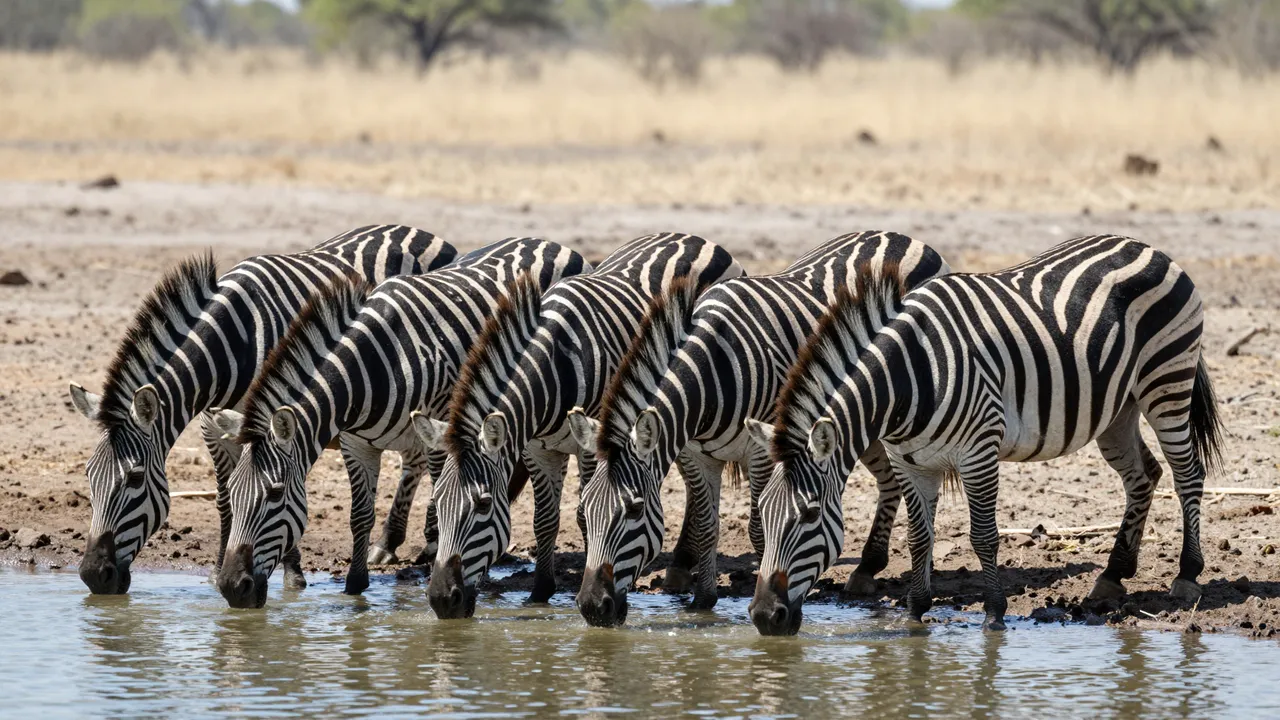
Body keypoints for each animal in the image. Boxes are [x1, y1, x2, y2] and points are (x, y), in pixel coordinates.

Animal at [68, 225, 455, 595]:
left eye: (134, 478)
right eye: (87, 475)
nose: (93, 577)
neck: (231, 346)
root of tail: (418, 231)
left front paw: (292, 572)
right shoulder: (213, 426)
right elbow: (227, 498)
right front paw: (218, 571)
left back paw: (424, 544)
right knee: (415, 459)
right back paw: (392, 542)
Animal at [211, 238, 587, 608]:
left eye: (274, 494)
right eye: (232, 491)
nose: (230, 587)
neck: (375, 364)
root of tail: (550, 243)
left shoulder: (439, 425)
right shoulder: (355, 443)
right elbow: (360, 514)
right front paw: (354, 588)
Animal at [411, 233, 744, 619]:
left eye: (482, 505)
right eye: (437, 500)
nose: (440, 599)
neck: (556, 365)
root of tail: (687, 236)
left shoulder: (592, 443)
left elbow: (587, 516)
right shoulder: (537, 448)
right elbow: (544, 519)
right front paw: (540, 593)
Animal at [567, 232, 950, 626]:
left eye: (634, 510)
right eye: (584, 508)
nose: (592, 607)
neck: (712, 373)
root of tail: (897, 236)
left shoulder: (761, 450)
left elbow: (760, 531)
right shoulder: (697, 454)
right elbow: (708, 525)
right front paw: (702, 602)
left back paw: (870, 567)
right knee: (889, 480)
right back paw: (866, 569)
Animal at [745, 235, 1224, 634]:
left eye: (809, 515)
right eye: (763, 514)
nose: (765, 617)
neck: (911, 380)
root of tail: (1147, 247)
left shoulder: (979, 451)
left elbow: (983, 535)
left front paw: (994, 613)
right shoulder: (910, 463)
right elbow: (919, 538)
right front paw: (916, 613)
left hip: (1167, 381)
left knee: (1187, 473)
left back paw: (1186, 574)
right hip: (1117, 409)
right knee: (1144, 475)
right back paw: (1113, 575)